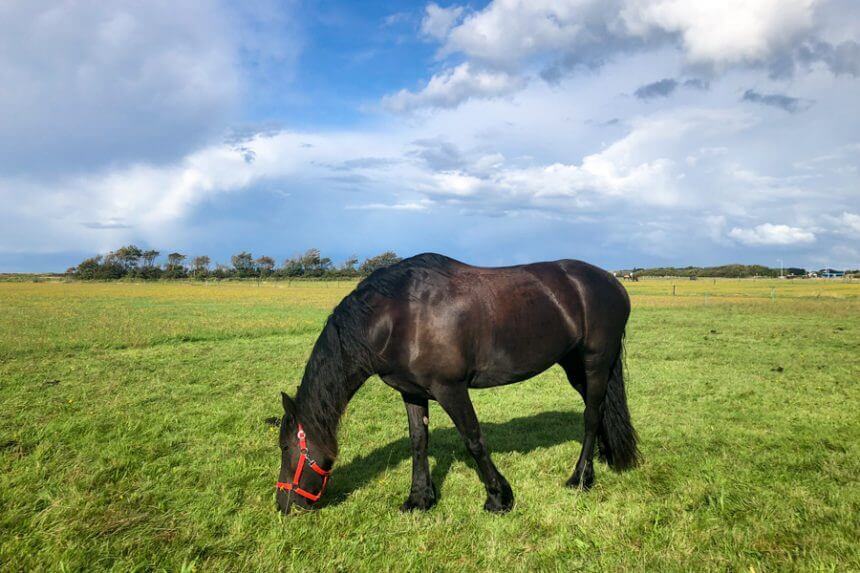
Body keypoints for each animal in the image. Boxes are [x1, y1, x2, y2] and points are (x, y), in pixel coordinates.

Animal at [276, 252, 640, 512]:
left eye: (285, 447)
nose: (284, 504)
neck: (399, 316)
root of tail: (614, 284)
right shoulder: (412, 392)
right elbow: (418, 442)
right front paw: (419, 499)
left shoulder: (450, 389)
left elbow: (473, 439)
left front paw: (499, 497)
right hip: (575, 365)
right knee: (600, 409)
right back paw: (601, 461)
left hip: (596, 362)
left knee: (591, 416)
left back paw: (579, 478)